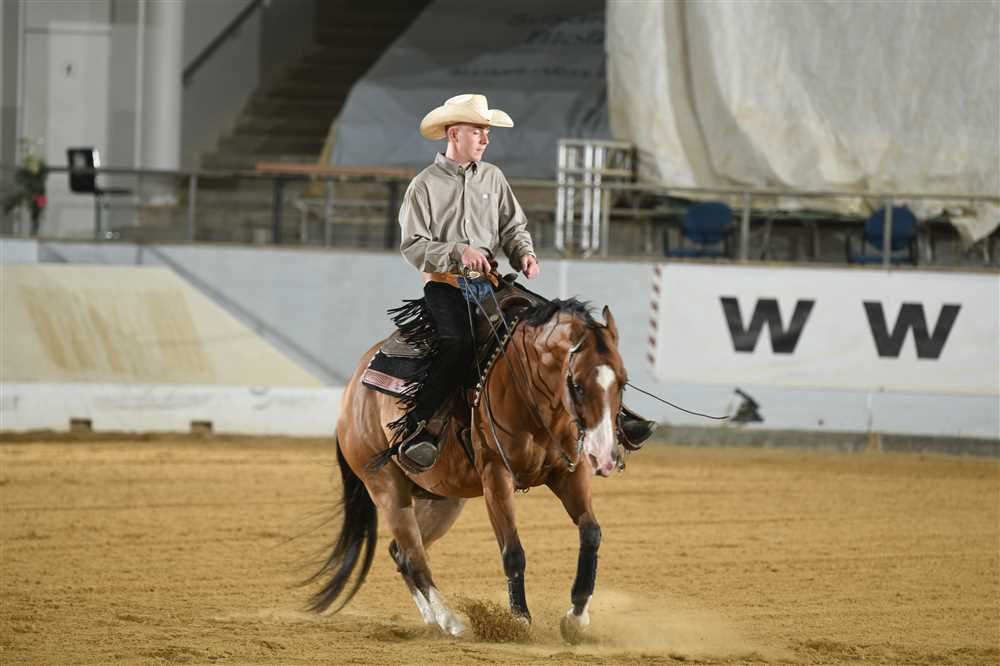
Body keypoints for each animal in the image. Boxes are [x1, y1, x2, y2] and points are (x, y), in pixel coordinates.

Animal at [306, 296, 629, 642]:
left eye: (622, 382)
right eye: (578, 386)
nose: (606, 456)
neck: (527, 389)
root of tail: (352, 391)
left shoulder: (569, 472)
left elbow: (591, 533)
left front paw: (576, 617)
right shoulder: (496, 476)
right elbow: (512, 552)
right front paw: (518, 621)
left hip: (441, 500)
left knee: (402, 552)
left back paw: (432, 619)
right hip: (387, 489)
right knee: (415, 557)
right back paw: (451, 621)